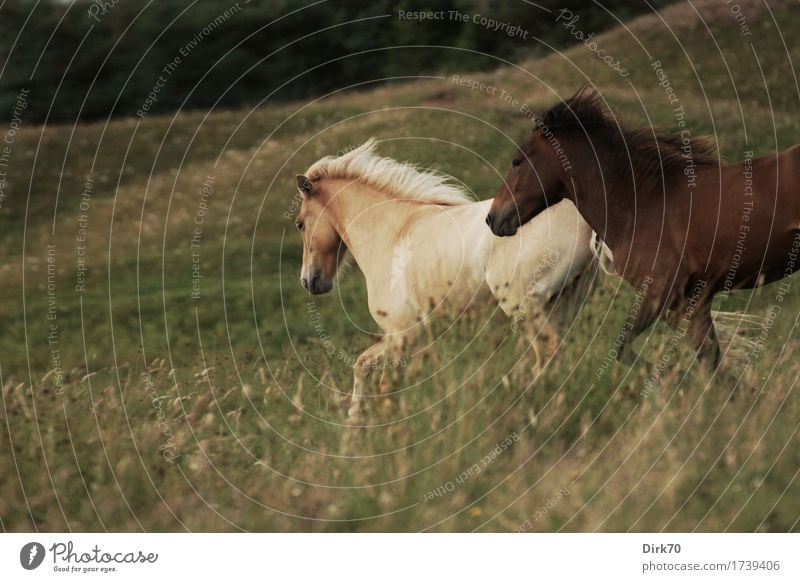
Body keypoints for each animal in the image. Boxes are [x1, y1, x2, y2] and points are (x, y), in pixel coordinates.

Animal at [294, 139, 592, 418]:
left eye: (299, 224)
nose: (309, 281)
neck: (391, 231)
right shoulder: (414, 337)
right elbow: (365, 365)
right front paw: (357, 418)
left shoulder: (402, 333)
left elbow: (382, 383)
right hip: (565, 302)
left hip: (523, 306)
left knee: (548, 351)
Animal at [484, 88, 800, 368]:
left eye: (516, 161)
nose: (493, 218)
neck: (644, 202)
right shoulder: (689, 303)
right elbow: (713, 363)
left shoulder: (661, 292)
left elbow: (623, 349)